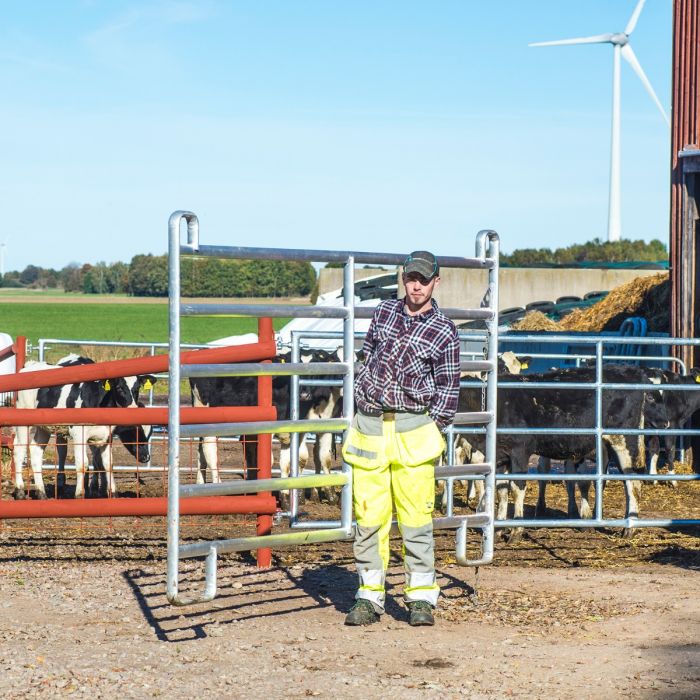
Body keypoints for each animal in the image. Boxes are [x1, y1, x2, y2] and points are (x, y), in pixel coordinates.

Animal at [12, 356, 156, 498]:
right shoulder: (78, 434)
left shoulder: (106, 436)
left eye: (137, 389)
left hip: (44, 427)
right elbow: (82, 464)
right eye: (119, 388)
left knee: (36, 451)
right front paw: (80, 494)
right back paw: (20, 491)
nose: (146, 457)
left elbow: (108, 464)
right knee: (19, 450)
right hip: (23, 423)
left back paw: (42, 494)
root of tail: (30, 366)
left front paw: (112, 494)